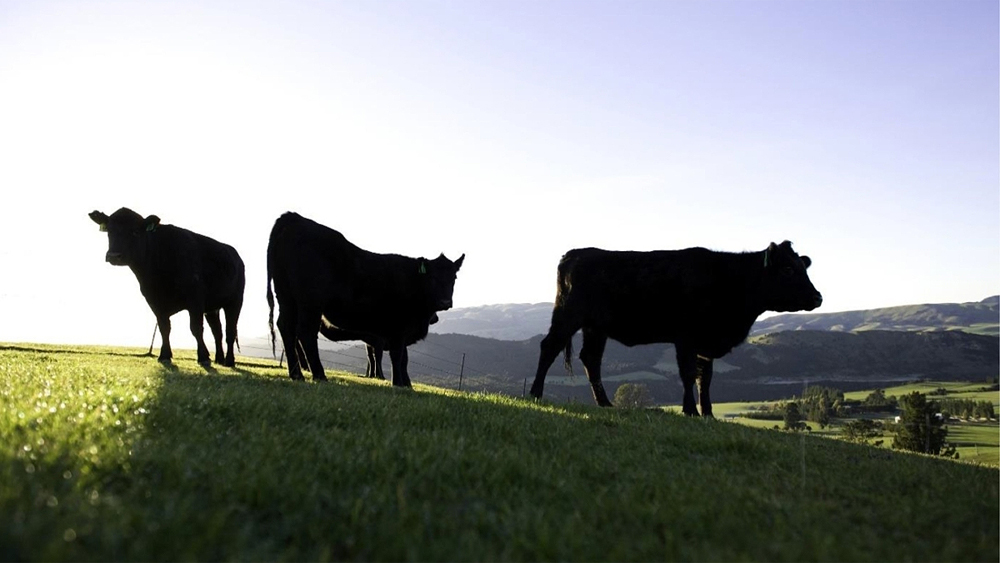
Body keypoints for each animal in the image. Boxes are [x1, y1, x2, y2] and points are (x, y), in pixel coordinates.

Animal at [89, 209, 246, 368]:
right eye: (109, 231)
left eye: (135, 232)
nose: (114, 256)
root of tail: (236, 256)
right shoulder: (154, 301)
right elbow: (164, 328)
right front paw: (164, 355)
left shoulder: (195, 299)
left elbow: (196, 328)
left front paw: (203, 357)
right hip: (212, 308)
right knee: (217, 331)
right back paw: (219, 358)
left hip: (235, 301)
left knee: (230, 331)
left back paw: (229, 360)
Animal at [268, 213, 466, 388]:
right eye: (432, 278)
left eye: (454, 277)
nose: (445, 302)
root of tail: (294, 217)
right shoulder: (396, 329)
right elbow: (398, 357)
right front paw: (398, 383)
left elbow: (401, 358)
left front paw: (404, 384)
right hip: (310, 302)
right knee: (305, 333)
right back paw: (319, 374)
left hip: (286, 297)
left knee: (286, 327)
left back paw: (296, 374)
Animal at [532, 240, 820, 416]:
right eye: (787, 270)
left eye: (802, 267)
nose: (818, 297)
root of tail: (574, 253)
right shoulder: (686, 339)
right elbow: (689, 374)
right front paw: (690, 410)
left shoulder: (705, 343)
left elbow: (705, 379)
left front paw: (708, 414)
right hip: (568, 315)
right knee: (549, 348)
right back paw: (535, 394)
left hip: (595, 328)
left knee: (591, 359)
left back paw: (605, 403)